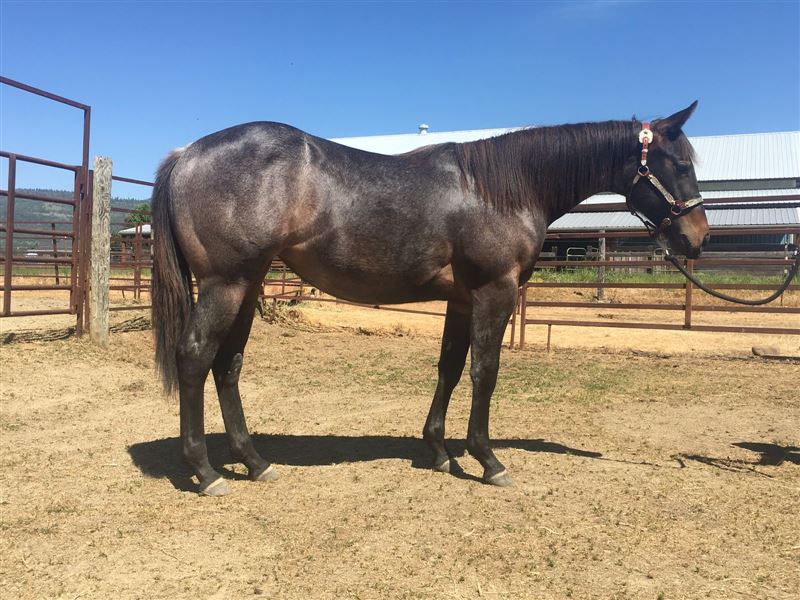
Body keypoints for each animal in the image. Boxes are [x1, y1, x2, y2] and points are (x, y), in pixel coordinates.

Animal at [151, 102, 709, 496]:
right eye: (680, 163)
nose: (697, 238)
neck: (499, 189)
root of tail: (187, 154)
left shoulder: (461, 300)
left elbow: (451, 368)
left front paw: (440, 451)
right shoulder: (494, 291)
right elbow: (485, 371)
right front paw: (487, 460)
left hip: (247, 286)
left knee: (228, 365)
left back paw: (255, 462)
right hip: (226, 283)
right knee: (195, 357)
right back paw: (206, 472)